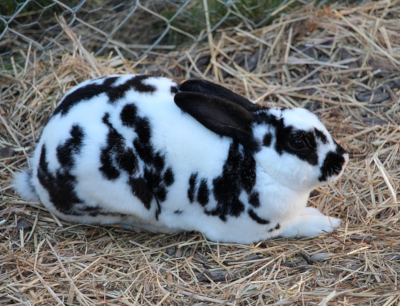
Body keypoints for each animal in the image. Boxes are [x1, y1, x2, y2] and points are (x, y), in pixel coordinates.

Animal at [13, 74, 346, 244]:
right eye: (298, 142)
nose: (341, 159)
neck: (257, 164)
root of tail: (40, 170)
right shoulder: (248, 231)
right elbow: (293, 227)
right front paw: (326, 223)